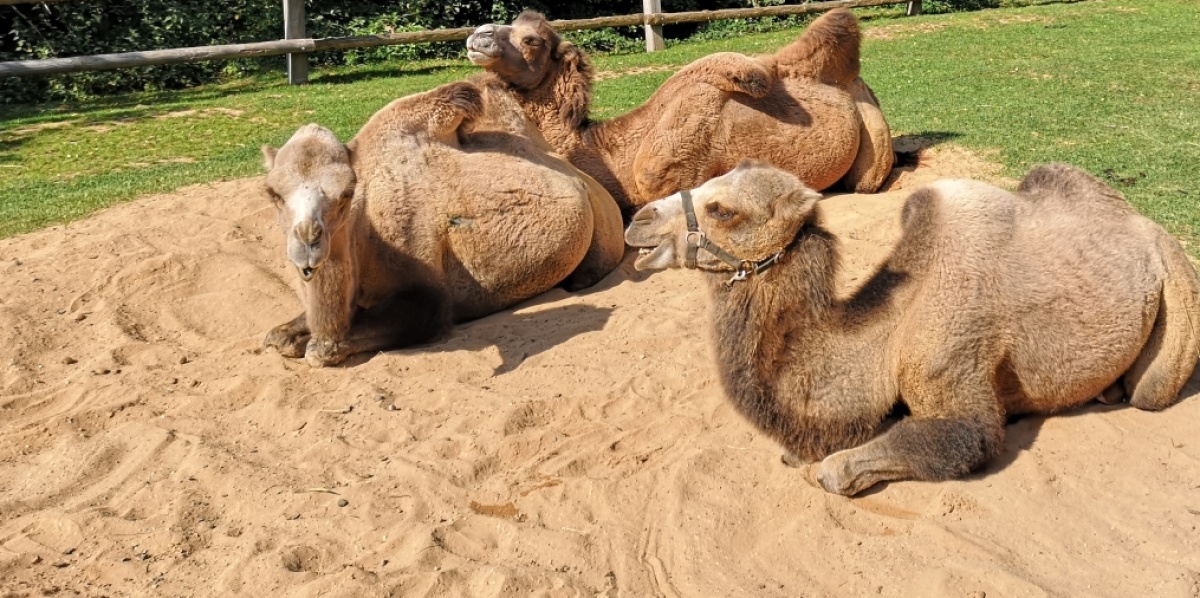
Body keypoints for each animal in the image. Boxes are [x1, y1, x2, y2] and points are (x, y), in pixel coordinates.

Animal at [260, 80, 625, 367]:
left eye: (347, 192)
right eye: (272, 192)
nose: (308, 243)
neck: (365, 233)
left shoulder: (428, 298)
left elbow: (322, 349)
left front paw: (317, 344)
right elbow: (278, 337)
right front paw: (289, 332)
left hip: (605, 234)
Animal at [466, 8, 894, 218]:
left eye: (532, 40)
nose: (477, 35)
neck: (608, 152)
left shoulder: (664, 164)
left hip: (872, 139)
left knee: (868, 179)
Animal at [624, 160, 1200, 495]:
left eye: (723, 209)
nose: (638, 221)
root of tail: (1146, 226)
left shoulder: (948, 365)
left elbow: (853, 466)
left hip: (1177, 293)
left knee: (1150, 391)